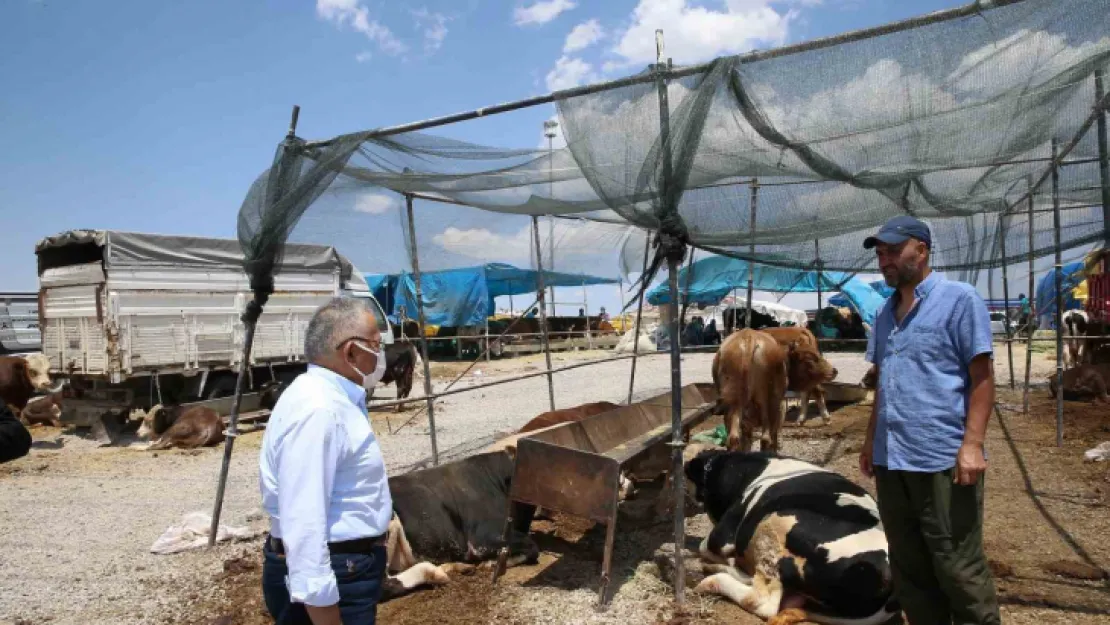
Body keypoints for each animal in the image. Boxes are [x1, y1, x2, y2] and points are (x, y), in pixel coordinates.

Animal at [381, 450, 537, 599]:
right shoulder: (483, 538)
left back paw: (460, 567)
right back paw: (436, 573)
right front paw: (492, 563)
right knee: (385, 585)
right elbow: (531, 547)